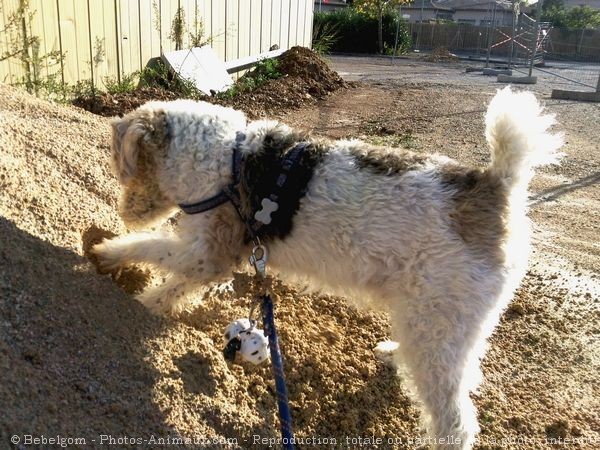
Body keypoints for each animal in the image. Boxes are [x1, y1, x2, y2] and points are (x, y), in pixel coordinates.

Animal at [94, 86, 564, 448]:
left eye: (124, 167)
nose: (127, 213)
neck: (226, 160)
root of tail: (498, 185)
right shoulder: (211, 255)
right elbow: (174, 281)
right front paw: (145, 294)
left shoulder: (210, 253)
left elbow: (156, 252)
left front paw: (110, 258)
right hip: (435, 319)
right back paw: (392, 354)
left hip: (440, 321)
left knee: (456, 420)